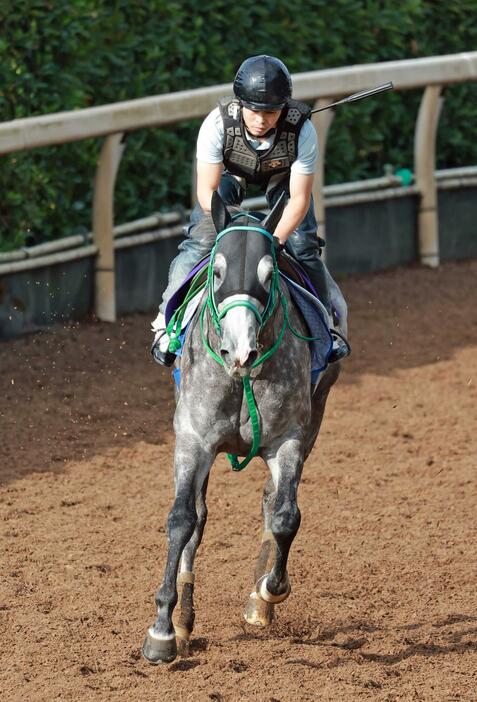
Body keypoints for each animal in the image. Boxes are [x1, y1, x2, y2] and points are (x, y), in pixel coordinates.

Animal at [141, 192, 342, 664]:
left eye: (270, 275)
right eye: (217, 271)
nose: (240, 350)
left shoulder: (289, 438)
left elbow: (286, 515)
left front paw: (269, 591)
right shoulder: (193, 440)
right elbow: (183, 519)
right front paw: (163, 630)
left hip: (315, 417)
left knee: (273, 501)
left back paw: (259, 600)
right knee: (198, 516)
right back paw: (183, 621)